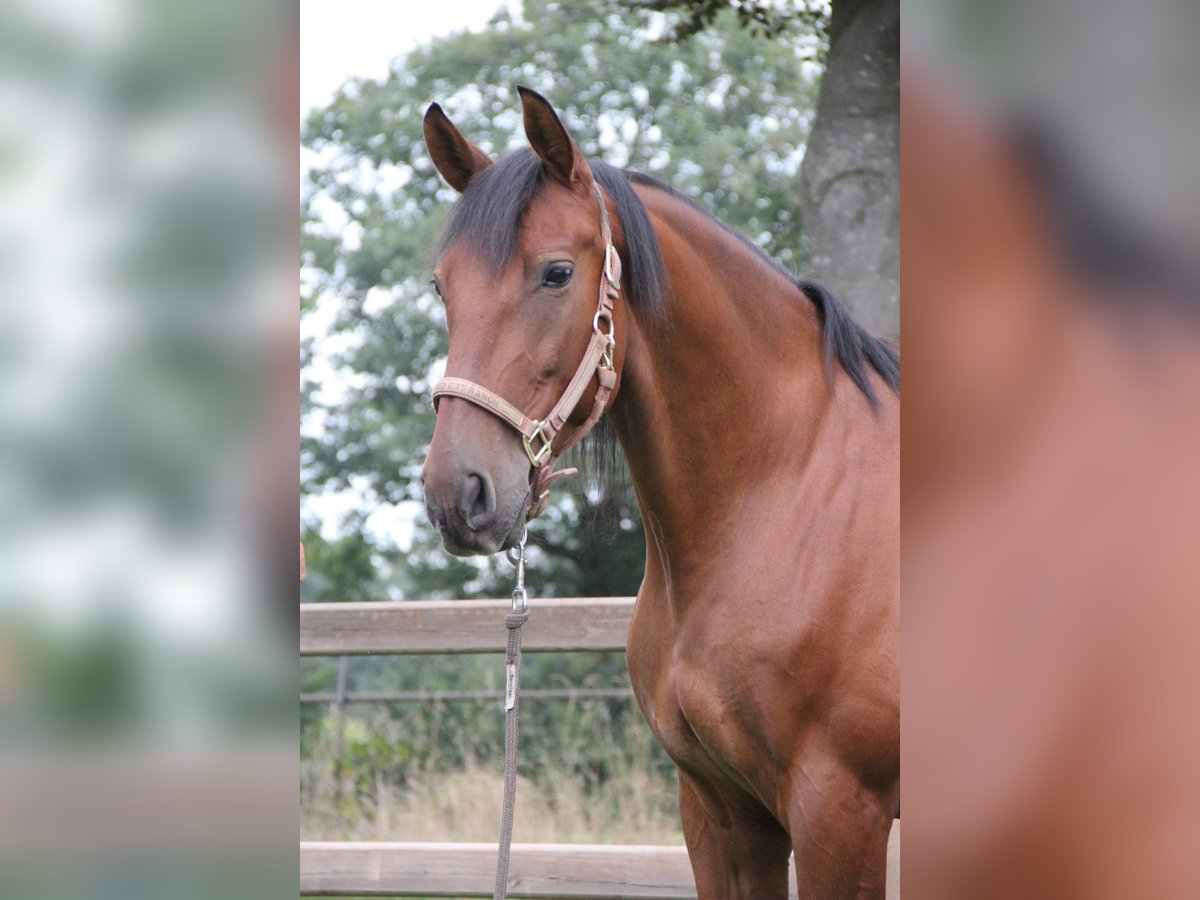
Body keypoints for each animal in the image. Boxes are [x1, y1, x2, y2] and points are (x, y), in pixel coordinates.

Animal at [417, 86, 897, 900]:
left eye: (556, 274)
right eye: (442, 284)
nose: (458, 492)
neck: (786, 492)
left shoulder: (839, 809)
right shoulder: (719, 810)